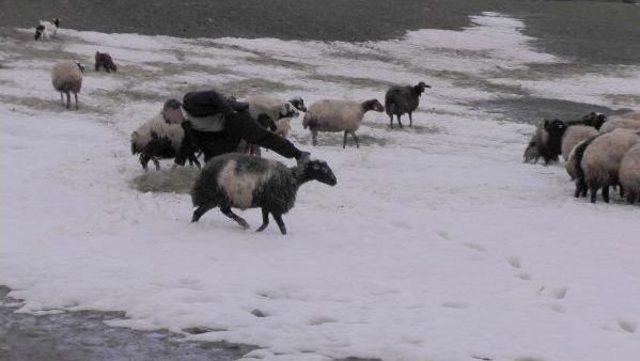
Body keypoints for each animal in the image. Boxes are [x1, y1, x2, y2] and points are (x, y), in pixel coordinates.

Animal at [190, 153, 338, 235]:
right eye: (324, 170)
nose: (335, 181)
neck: (293, 178)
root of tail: (204, 170)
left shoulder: (266, 206)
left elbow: (265, 223)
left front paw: (257, 232)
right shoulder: (275, 204)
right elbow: (281, 226)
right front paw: (284, 235)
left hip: (222, 197)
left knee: (222, 211)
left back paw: (244, 224)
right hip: (213, 196)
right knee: (200, 213)